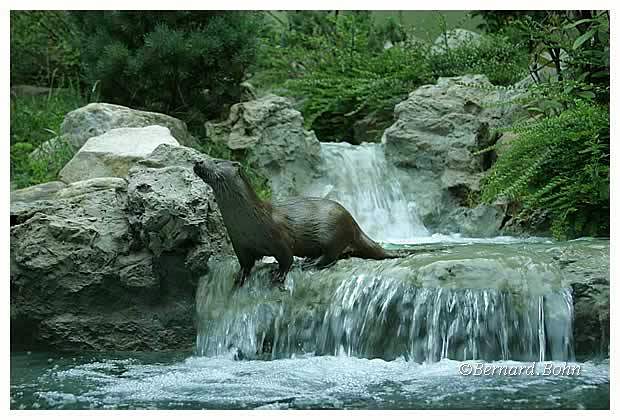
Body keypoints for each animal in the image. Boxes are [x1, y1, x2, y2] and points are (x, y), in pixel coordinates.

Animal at [193, 159, 398, 288]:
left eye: (216, 161)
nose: (198, 162)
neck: (246, 220)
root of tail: (354, 223)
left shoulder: (279, 238)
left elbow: (287, 258)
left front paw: (279, 274)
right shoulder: (239, 243)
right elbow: (245, 263)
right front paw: (241, 275)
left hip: (333, 230)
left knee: (332, 255)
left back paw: (311, 263)